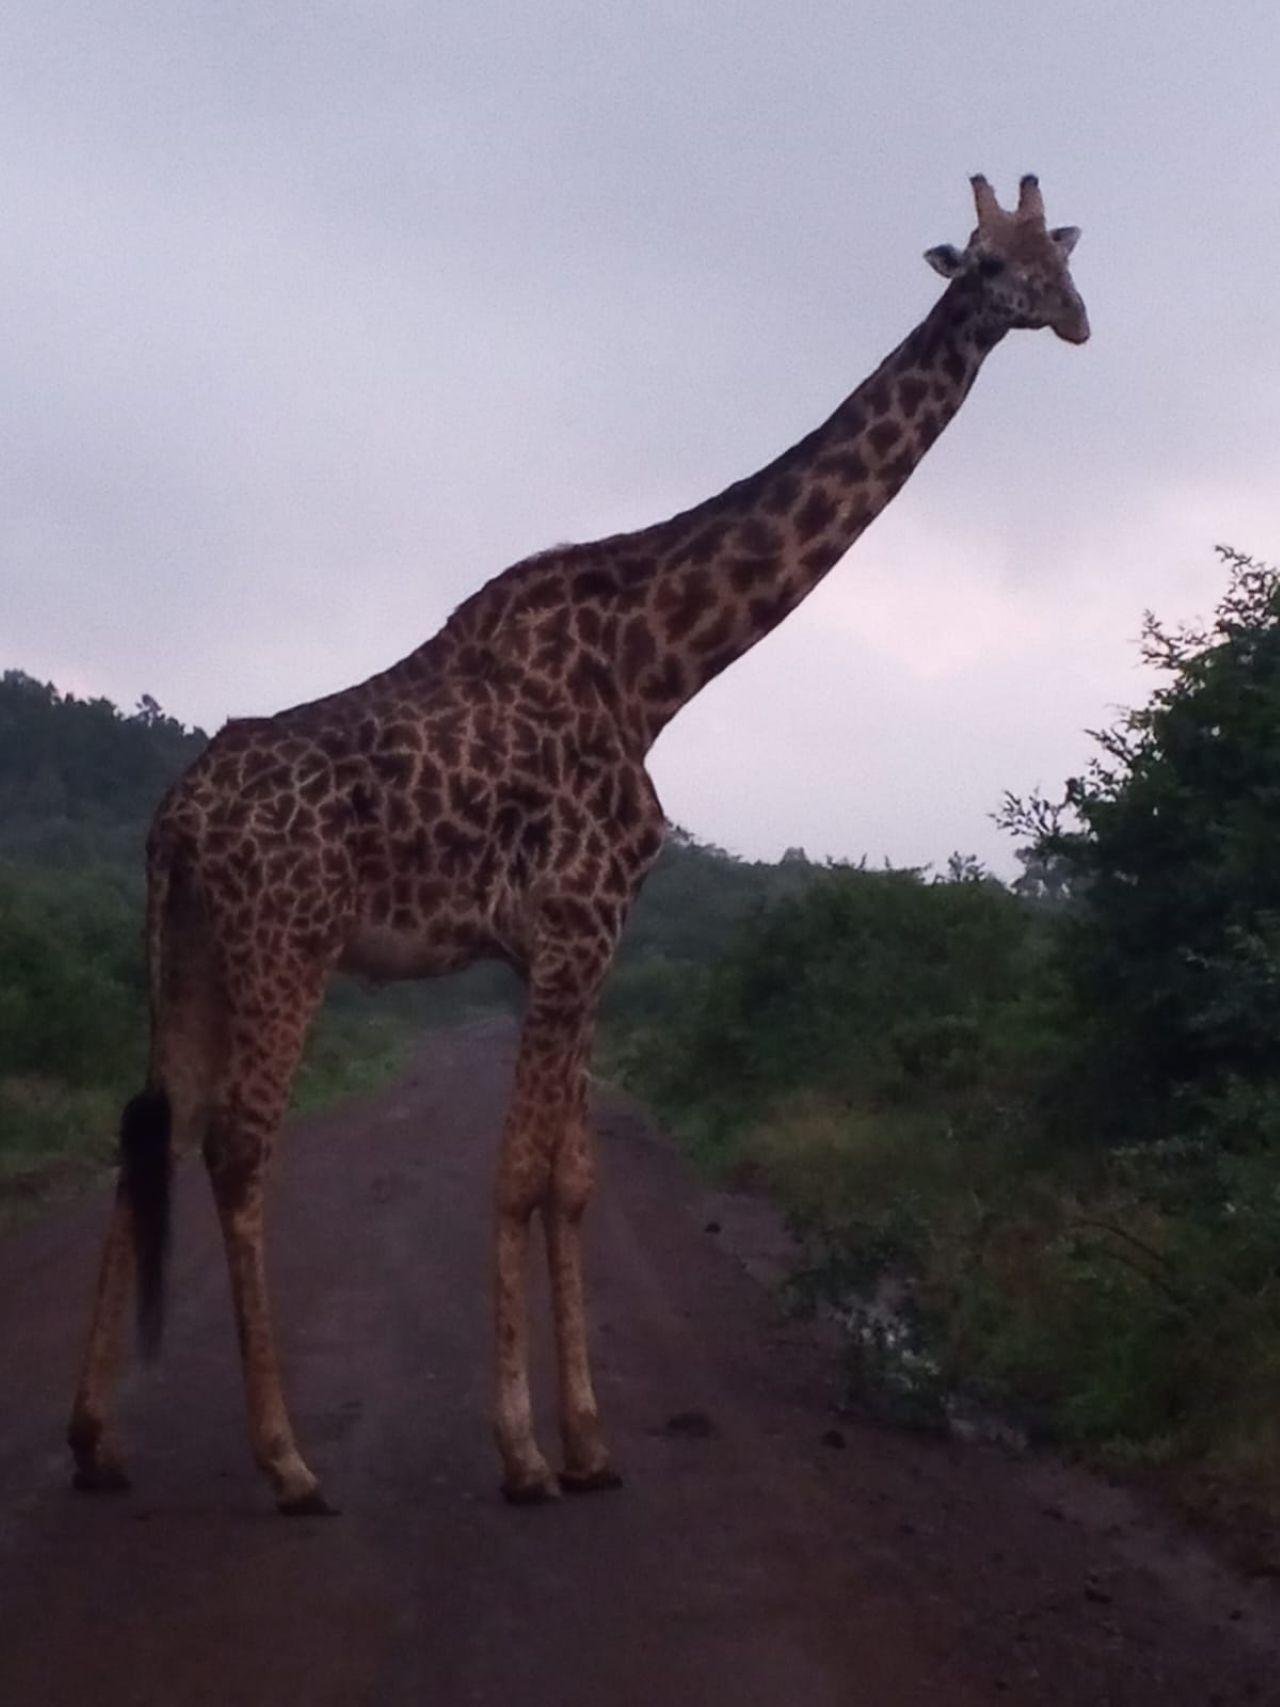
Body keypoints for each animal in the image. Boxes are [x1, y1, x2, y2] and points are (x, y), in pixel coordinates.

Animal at [69, 174, 1088, 1512]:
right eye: (983, 261)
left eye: (1055, 254)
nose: (1070, 317)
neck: (657, 667)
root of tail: (174, 820)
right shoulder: (570, 927)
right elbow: (515, 1176)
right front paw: (519, 1454)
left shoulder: (589, 944)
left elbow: (570, 1181)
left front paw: (591, 1445)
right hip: (282, 941)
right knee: (236, 1149)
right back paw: (285, 1461)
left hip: (183, 946)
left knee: (145, 1127)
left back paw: (97, 1442)